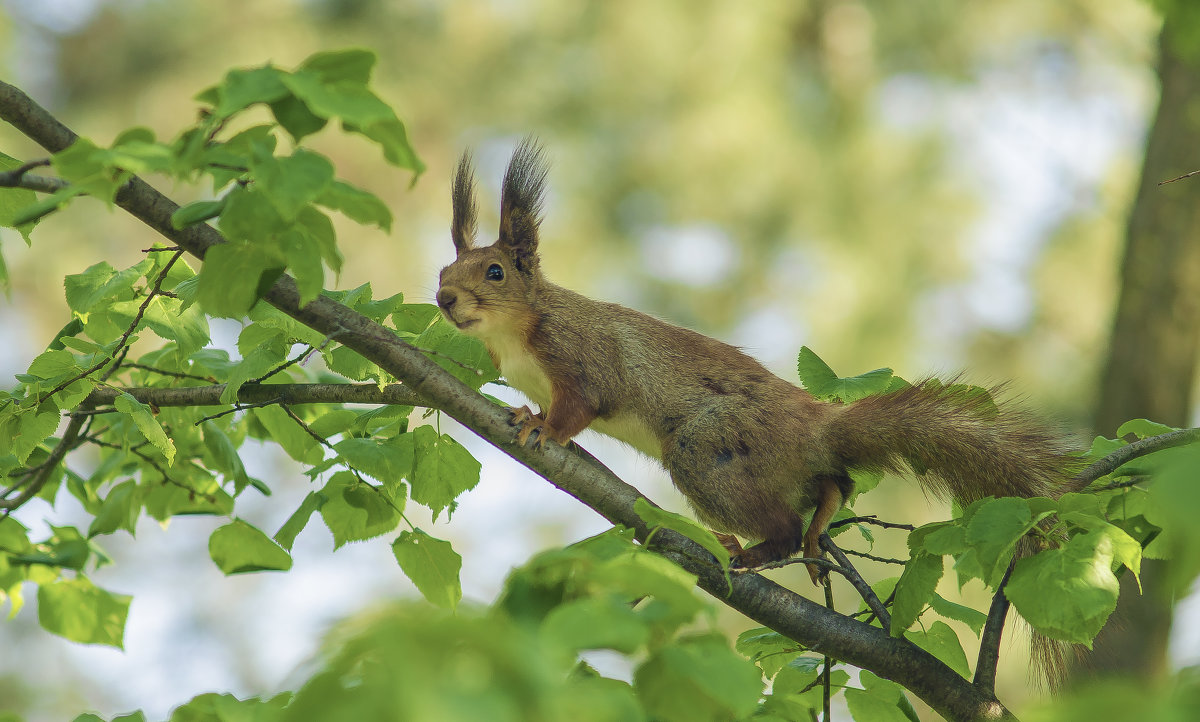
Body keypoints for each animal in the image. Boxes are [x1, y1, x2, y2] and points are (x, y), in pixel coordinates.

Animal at [434, 139, 1080, 578]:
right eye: (443, 271)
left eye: (495, 271)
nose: (443, 299)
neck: (518, 333)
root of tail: (815, 430)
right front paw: (528, 411)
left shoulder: (579, 357)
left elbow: (580, 407)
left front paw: (541, 426)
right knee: (835, 483)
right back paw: (814, 523)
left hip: (708, 452)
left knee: (785, 524)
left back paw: (758, 551)